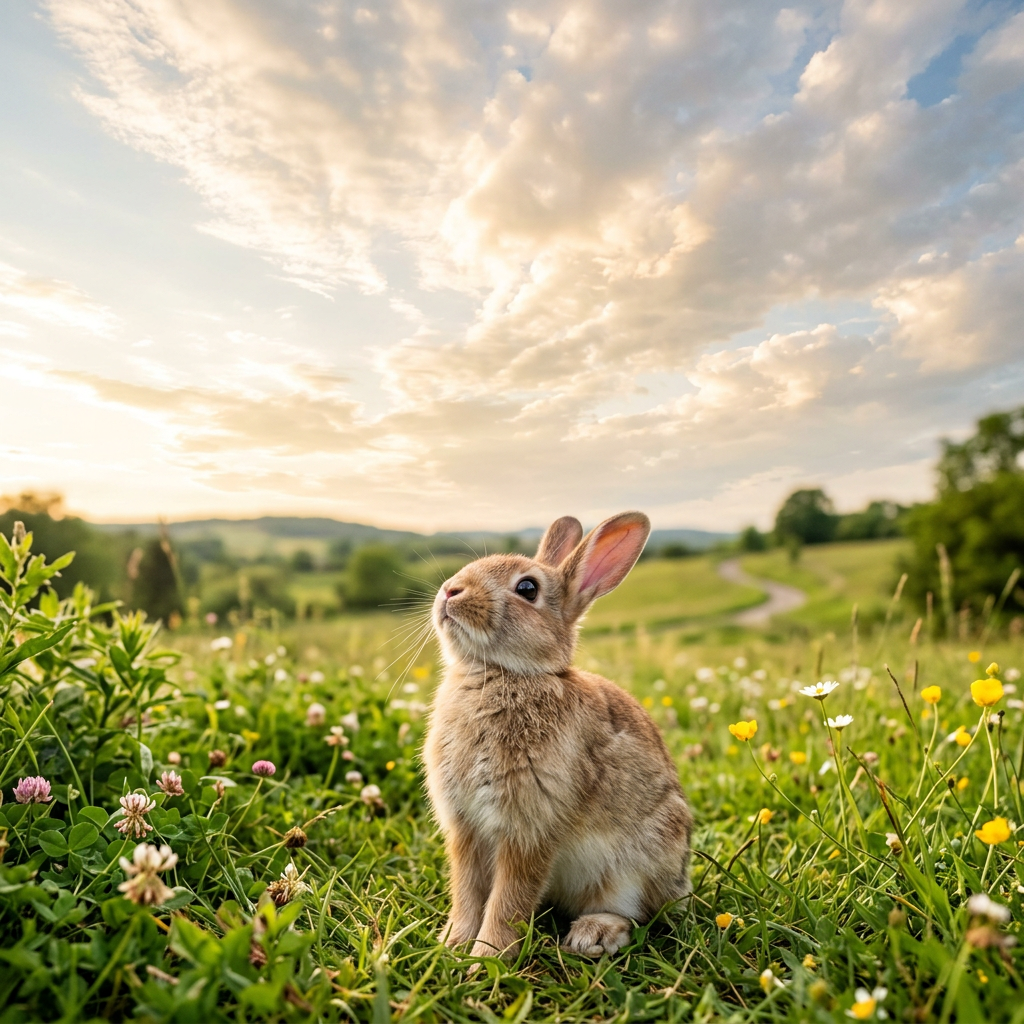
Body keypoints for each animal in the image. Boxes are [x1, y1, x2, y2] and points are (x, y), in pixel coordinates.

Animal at [422, 511, 693, 962]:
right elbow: (467, 891)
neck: (501, 673)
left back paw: (593, 934)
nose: (450, 590)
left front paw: (486, 958)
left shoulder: (530, 828)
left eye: (527, 589)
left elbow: (509, 898)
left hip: (634, 866)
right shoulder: (465, 828)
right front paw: (453, 945)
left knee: (637, 913)